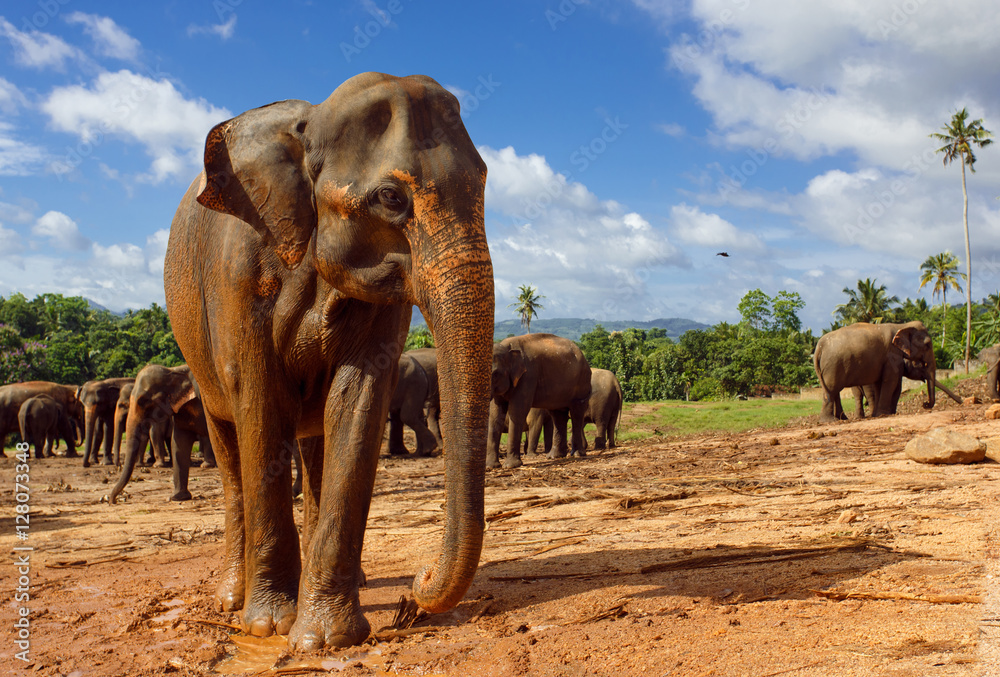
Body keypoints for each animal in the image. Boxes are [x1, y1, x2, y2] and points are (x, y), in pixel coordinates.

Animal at [164, 71, 496, 648]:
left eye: (481, 184)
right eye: (390, 197)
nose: (419, 580)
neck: (310, 122)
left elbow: (358, 401)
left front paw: (327, 639)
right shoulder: (237, 277)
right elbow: (259, 406)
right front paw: (268, 625)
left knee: (316, 437)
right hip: (196, 349)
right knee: (228, 445)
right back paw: (233, 598)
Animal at [486, 330, 588, 468]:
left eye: (495, 374)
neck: (507, 347)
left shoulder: (528, 376)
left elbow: (517, 411)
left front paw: (511, 466)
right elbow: (495, 414)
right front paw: (491, 466)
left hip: (581, 383)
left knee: (576, 413)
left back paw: (577, 454)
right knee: (558, 415)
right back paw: (554, 456)